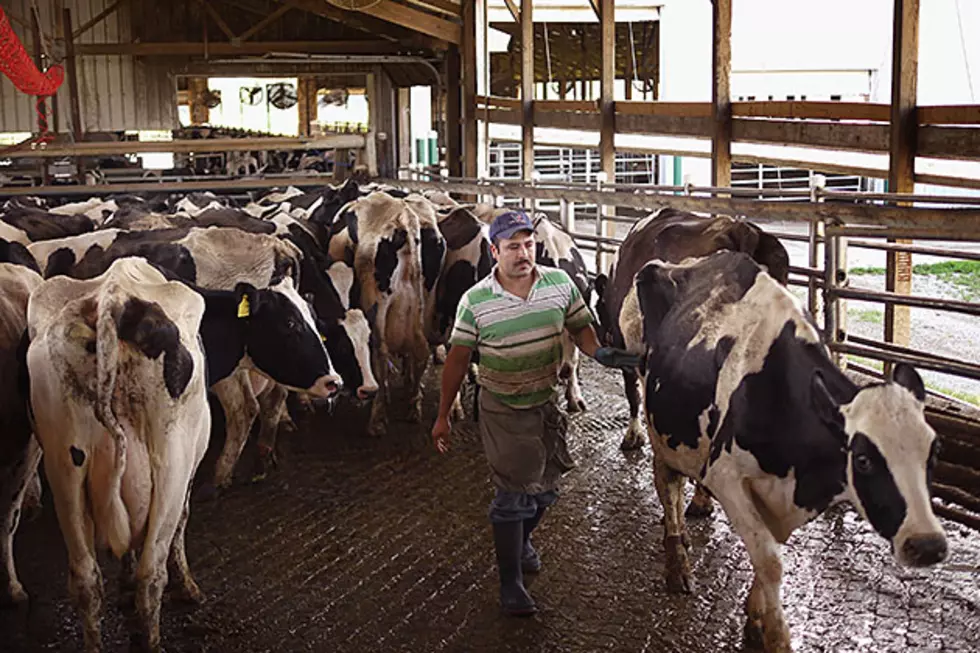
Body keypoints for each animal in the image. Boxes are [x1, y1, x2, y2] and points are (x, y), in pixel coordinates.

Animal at [26, 258, 211, 652]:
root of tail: (114, 299)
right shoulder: (189, 468)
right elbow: (181, 524)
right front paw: (187, 587)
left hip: (64, 467)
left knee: (85, 577)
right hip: (170, 464)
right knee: (151, 573)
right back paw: (151, 640)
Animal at [342, 190, 446, 432]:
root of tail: (404, 217)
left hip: (377, 304)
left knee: (380, 352)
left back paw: (377, 417)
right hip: (423, 307)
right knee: (421, 351)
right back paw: (413, 407)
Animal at [632, 250, 944, 652]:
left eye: (933, 453)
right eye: (863, 460)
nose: (928, 544)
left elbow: (766, 556)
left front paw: (754, 617)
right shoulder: (726, 477)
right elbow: (770, 561)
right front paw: (775, 634)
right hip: (660, 428)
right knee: (668, 489)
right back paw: (678, 563)